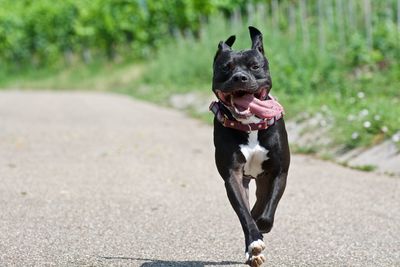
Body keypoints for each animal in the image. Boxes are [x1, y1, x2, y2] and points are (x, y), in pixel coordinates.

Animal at [211, 26, 290, 266]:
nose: (240, 77)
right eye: (225, 68)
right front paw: (253, 241)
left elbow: (265, 213)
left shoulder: (278, 172)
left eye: (255, 66)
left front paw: (261, 224)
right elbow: (245, 215)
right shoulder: (233, 176)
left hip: (263, 180)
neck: (251, 125)